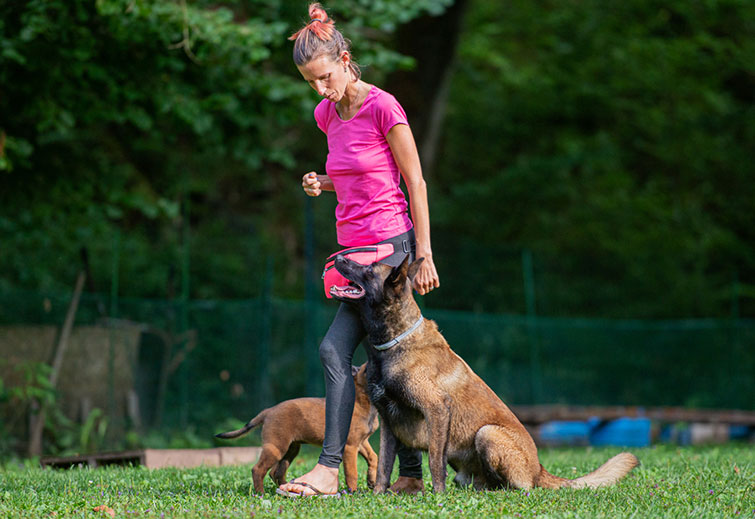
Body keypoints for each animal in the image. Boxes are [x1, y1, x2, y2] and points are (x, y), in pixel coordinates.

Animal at [216, 364, 378, 494]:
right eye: (366, 369)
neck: (362, 401)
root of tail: (269, 411)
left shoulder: (362, 442)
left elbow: (373, 457)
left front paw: (372, 480)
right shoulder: (350, 447)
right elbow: (352, 472)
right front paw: (353, 492)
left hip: (291, 449)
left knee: (276, 472)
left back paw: (286, 488)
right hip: (276, 448)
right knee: (258, 469)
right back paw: (261, 494)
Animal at [330, 258, 636, 494]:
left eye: (369, 269)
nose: (339, 258)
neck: (395, 341)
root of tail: (539, 469)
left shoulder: (437, 409)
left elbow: (434, 463)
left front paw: (437, 496)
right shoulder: (389, 423)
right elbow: (383, 466)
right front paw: (379, 496)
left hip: (487, 433)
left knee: (520, 487)